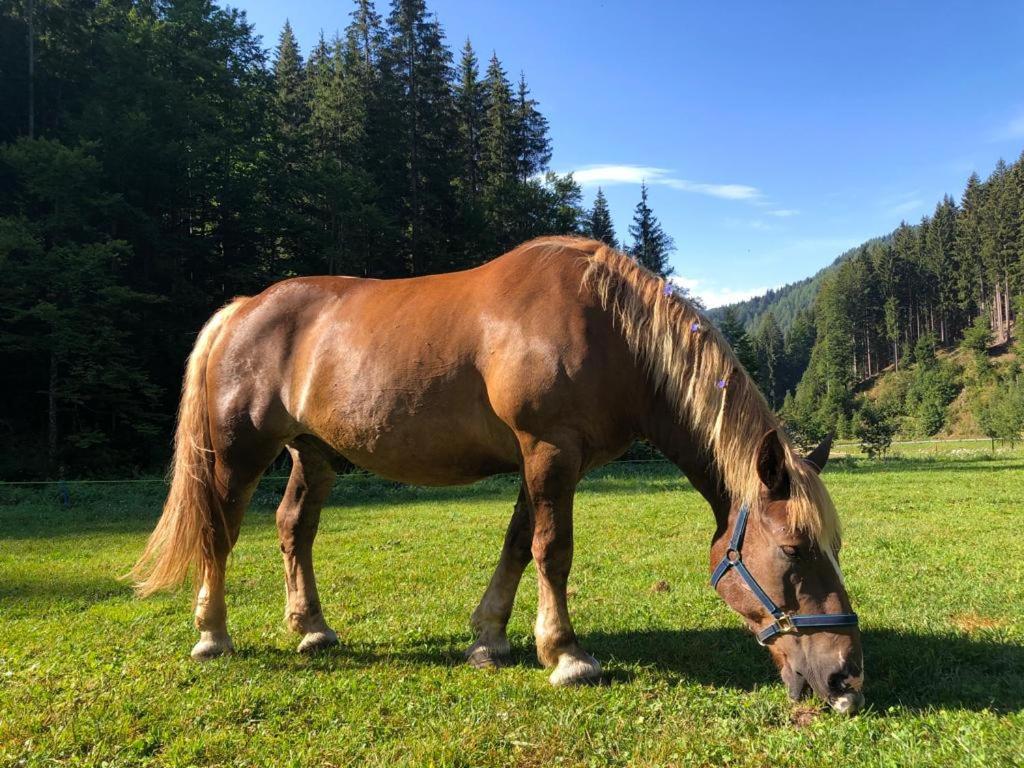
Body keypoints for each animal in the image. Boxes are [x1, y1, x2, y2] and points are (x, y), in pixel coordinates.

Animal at [130, 236, 864, 716]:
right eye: (793, 551)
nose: (846, 680)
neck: (610, 329)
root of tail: (242, 308)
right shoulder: (549, 452)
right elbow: (552, 550)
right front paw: (565, 655)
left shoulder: (541, 462)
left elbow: (516, 546)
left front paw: (490, 640)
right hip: (239, 453)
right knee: (220, 535)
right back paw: (213, 635)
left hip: (312, 455)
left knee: (293, 529)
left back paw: (310, 626)